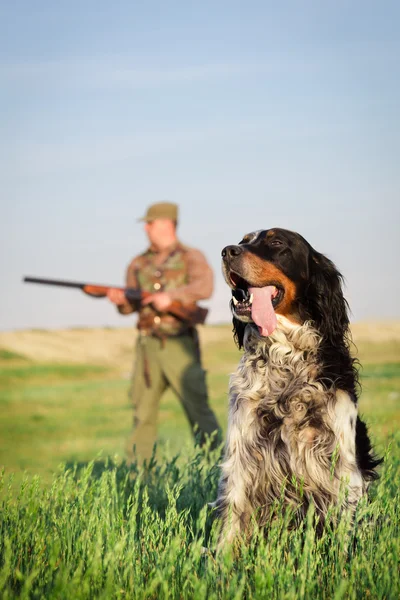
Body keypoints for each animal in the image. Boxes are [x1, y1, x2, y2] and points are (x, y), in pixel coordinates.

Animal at [214, 229, 380, 548]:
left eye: (277, 242)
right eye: (243, 241)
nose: (227, 251)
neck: (285, 358)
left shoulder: (341, 463)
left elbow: (342, 529)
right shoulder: (242, 452)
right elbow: (232, 518)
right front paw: (221, 560)